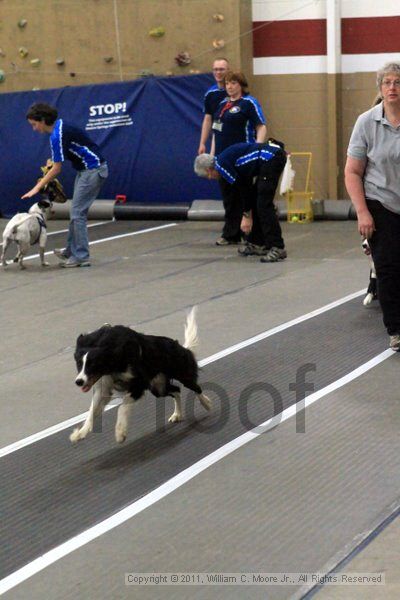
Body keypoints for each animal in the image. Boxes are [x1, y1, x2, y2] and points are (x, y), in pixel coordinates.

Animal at [70, 310, 212, 440]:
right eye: (78, 364)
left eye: (93, 365)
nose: (79, 382)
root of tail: (184, 348)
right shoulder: (104, 388)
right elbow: (92, 411)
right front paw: (79, 433)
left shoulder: (139, 383)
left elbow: (123, 406)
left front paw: (120, 432)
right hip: (158, 387)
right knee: (177, 390)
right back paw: (177, 414)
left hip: (182, 374)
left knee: (196, 388)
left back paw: (206, 403)